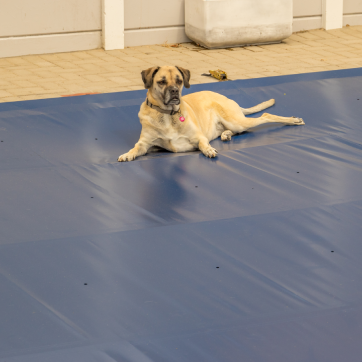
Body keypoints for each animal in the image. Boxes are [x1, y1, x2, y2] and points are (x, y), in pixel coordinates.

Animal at [117, 65, 304, 161]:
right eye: (161, 82)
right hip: (235, 124)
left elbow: (203, 144)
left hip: (237, 121)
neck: (168, 115)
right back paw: (226, 134)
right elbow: (136, 147)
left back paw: (293, 120)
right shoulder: (145, 144)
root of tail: (228, 99)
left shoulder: (199, 137)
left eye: (179, 81)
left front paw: (208, 150)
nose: (175, 91)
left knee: (265, 116)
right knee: (237, 131)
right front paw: (127, 154)